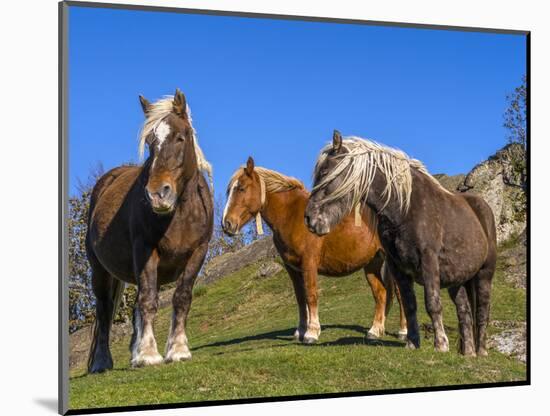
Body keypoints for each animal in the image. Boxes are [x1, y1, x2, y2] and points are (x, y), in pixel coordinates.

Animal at [87, 89, 215, 372]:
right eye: (149, 143)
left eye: (180, 138)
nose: (157, 194)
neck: (180, 213)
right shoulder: (147, 250)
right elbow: (148, 301)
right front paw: (148, 355)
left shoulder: (198, 252)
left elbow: (181, 297)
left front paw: (177, 350)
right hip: (100, 270)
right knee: (104, 311)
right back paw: (101, 362)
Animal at [222, 157, 408, 344]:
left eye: (241, 188)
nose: (227, 224)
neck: (293, 216)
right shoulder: (292, 268)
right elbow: (300, 297)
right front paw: (300, 331)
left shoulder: (309, 263)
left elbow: (311, 295)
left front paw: (311, 332)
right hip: (372, 263)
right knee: (381, 293)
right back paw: (374, 331)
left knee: (400, 294)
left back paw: (403, 332)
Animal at [308, 132, 498, 356]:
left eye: (325, 173)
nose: (309, 219)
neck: (404, 209)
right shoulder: (397, 267)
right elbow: (409, 305)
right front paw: (412, 342)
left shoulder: (429, 261)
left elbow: (432, 303)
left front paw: (441, 344)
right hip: (457, 281)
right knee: (465, 312)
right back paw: (468, 353)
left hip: (484, 274)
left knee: (482, 311)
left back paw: (481, 352)